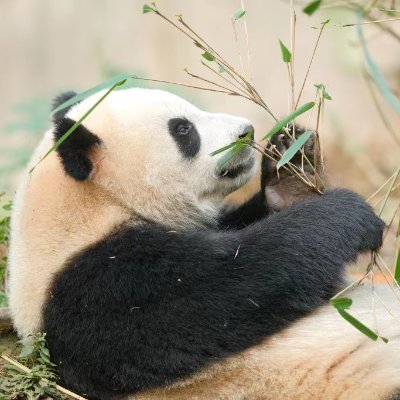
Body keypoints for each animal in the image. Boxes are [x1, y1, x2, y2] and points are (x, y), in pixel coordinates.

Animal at [7, 87, 400, 400]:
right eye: (184, 130)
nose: (246, 131)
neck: (94, 204)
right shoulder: (100, 288)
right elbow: (237, 283)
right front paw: (346, 214)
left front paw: (292, 170)